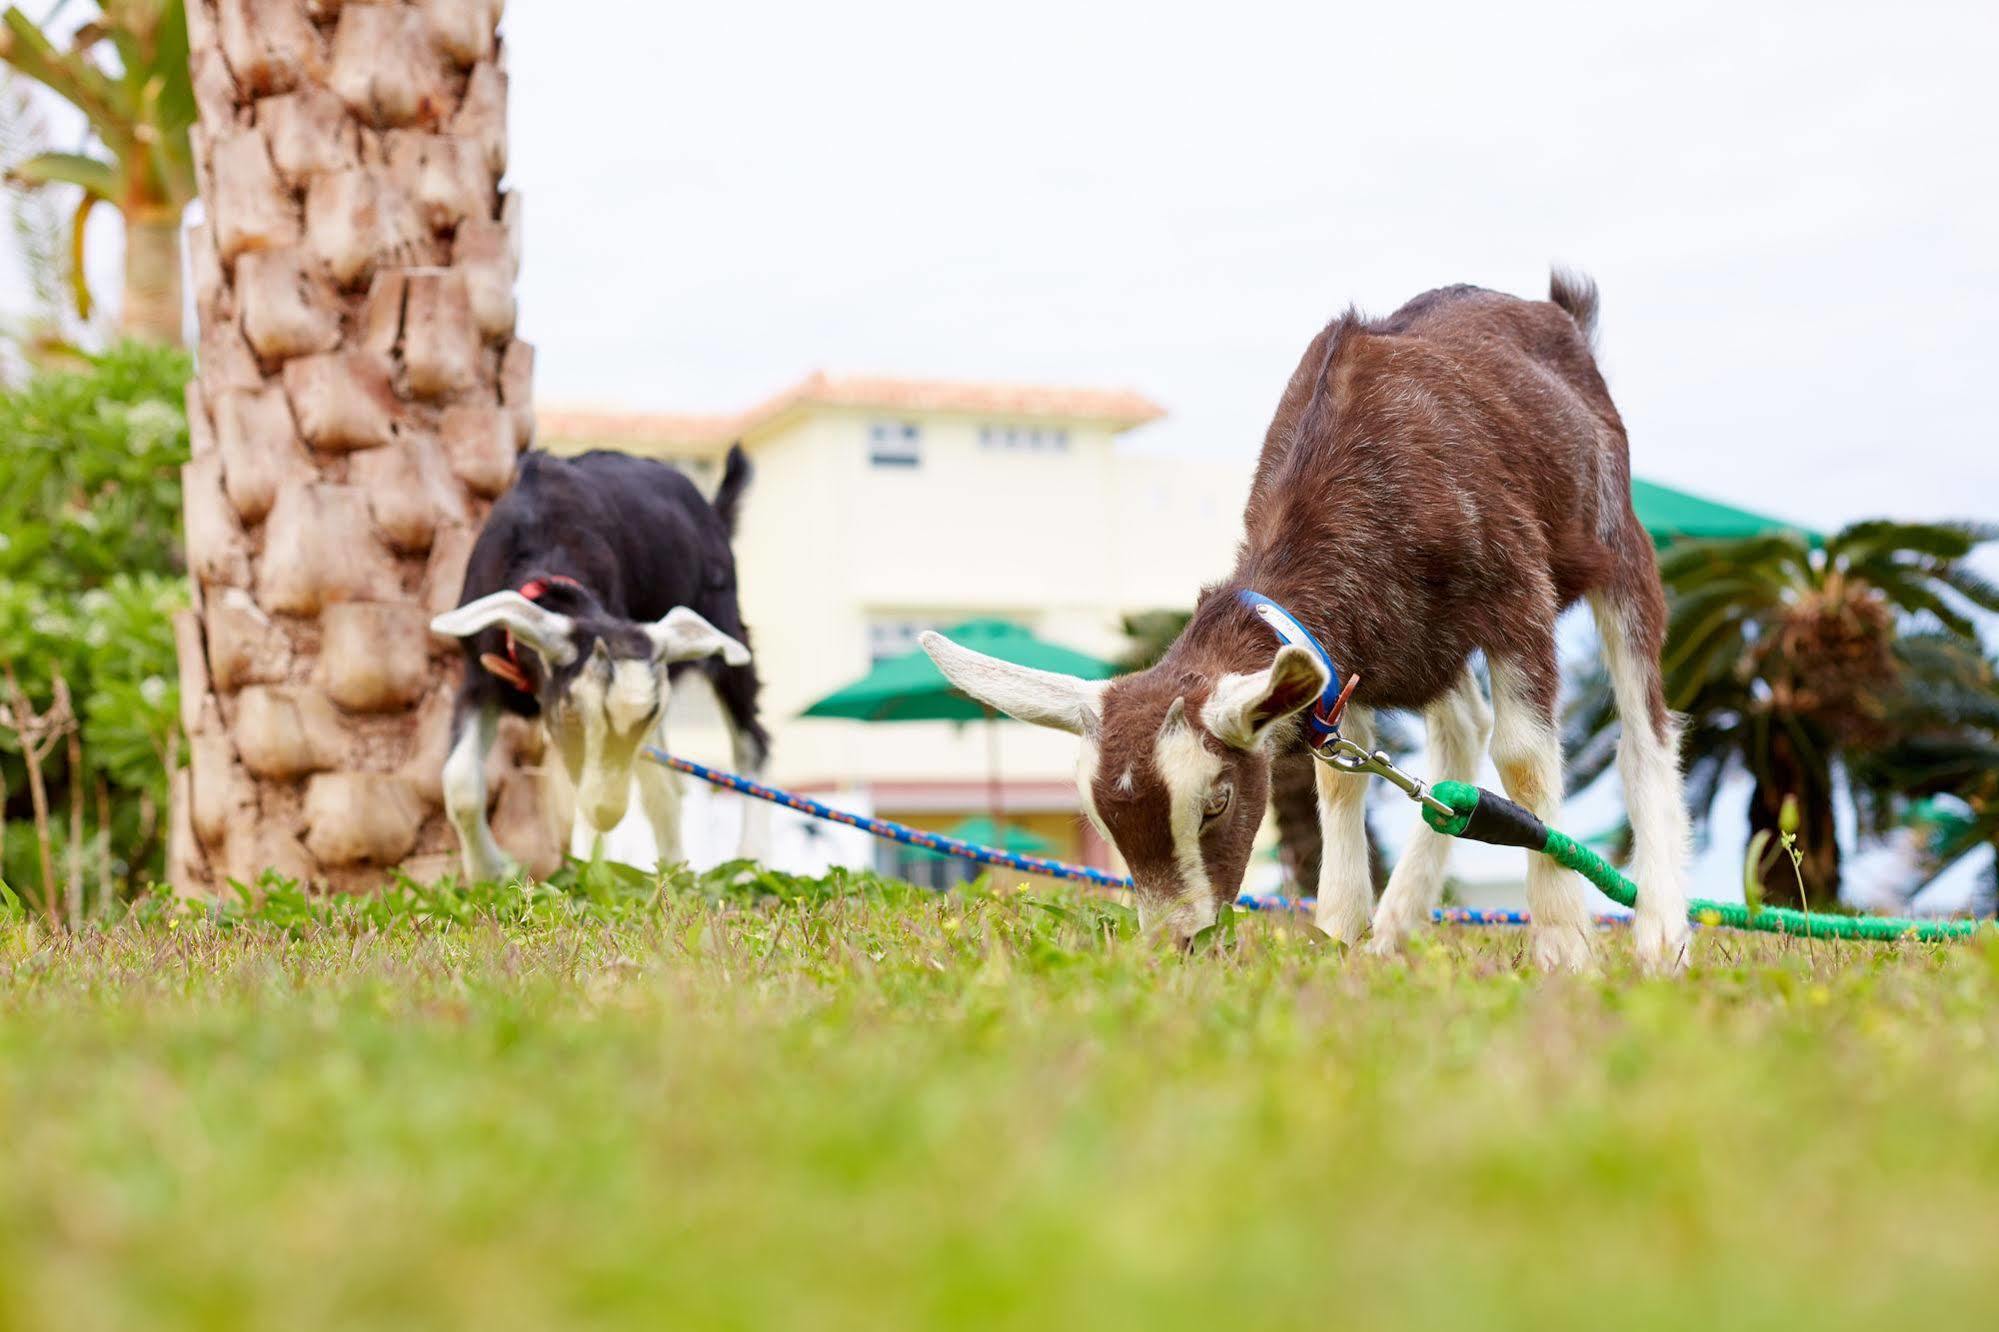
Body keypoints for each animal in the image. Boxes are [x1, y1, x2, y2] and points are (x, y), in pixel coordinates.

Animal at [429, 448, 763, 880]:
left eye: (644, 723)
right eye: (572, 717)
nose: (608, 812)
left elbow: (630, 800)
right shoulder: (479, 678)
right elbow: (460, 781)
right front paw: (488, 873)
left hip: (729, 631)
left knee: (748, 745)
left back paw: (746, 860)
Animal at [919, 274, 1687, 972]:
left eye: (1217, 800)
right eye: (1102, 819)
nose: (1181, 945)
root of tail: (1557, 311)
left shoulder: (1514, 588)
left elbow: (1525, 758)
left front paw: (1563, 946)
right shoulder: (1347, 653)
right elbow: (1341, 775)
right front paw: (1339, 935)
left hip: (1617, 538)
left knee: (1642, 731)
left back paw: (1661, 932)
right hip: (1421, 639)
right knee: (1460, 736)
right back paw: (1395, 925)